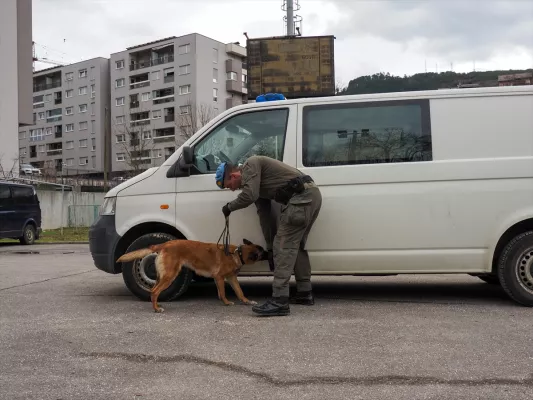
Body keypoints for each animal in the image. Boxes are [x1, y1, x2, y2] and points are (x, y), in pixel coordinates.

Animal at [116, 238, 266, 312]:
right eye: (263, 251)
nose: (269, 251)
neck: (237, 253)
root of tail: (164, 244)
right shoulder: (220, 277)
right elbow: (223, 292)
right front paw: (226, 302)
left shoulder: (231, 278)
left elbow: (240, 292)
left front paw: (247, 301)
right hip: (170, 275)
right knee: (154, 291)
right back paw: (156, 309)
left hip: (163, 276)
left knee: (154, 290)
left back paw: (156, 305)